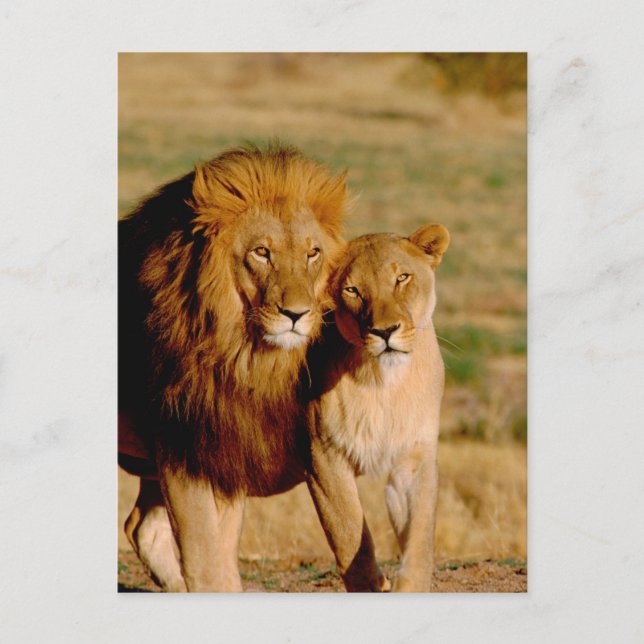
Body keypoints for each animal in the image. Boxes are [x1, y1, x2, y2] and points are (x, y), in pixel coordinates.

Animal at [118, 144, 347, 591]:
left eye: (312, 253)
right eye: (262, 252)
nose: (298, 314)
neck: (241, 355)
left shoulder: (225, 451)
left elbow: (221, 561)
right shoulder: (182, 453)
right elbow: (207, 562)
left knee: (141, 527)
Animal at [305, 224, 450, 592]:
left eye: (402, 278)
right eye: (353, 290)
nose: (385, 331)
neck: (383, 383)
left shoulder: (414, 455)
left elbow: (420, 535)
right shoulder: (323, 457)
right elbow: (348, 532)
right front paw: (372, 585)